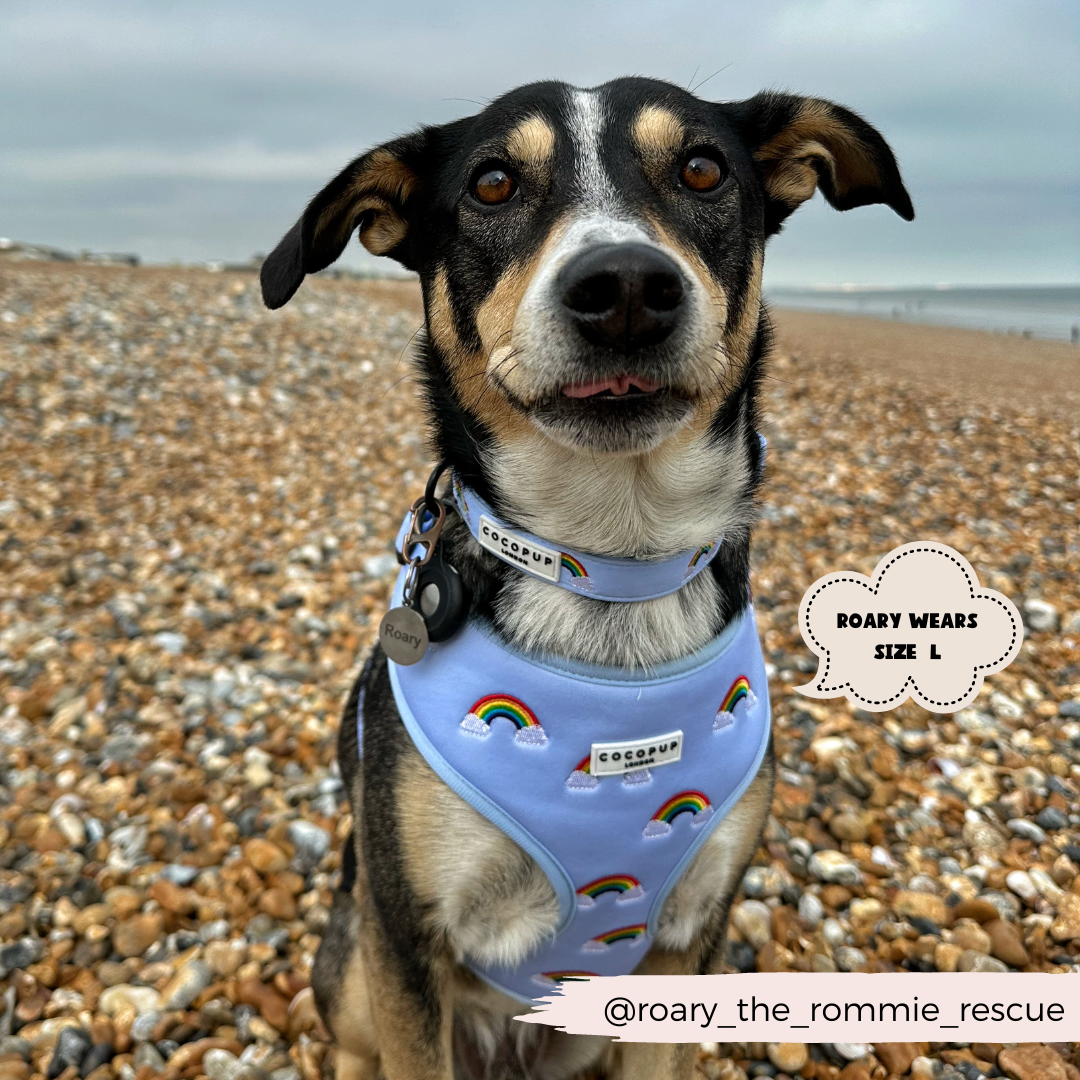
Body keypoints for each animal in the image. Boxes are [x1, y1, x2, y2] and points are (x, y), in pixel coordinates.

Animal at [261, 76, 911, 1080]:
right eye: (492, 183)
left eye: (702, 168)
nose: (628, 287)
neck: (610, 569)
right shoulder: (405, 941)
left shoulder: (687, 944)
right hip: (353, 963)